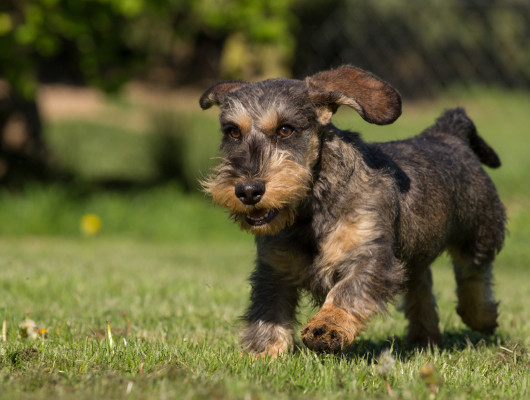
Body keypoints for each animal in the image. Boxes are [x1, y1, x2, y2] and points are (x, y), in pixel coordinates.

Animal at [198, 65, 504, 356]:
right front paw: (263, 353)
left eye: (286, 129)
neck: (312, 209)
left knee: (473, 276)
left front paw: (327, 325)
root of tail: (446, 133)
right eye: (233, 132)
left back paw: (481, 317)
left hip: (478, 234)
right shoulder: (274, 269)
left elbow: (348, 290)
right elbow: (268, 311)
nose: (248, 190)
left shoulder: (371, 256)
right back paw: (425, 336)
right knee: (421, 285)